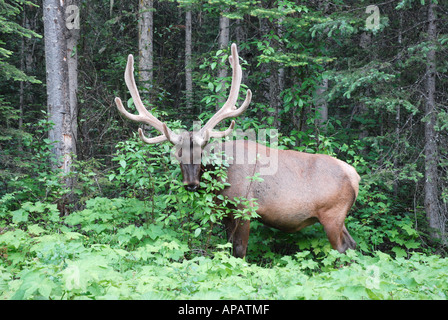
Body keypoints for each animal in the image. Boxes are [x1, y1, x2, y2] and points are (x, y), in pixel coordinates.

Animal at [115, 43, 360, 258]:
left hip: (332, 213)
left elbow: (240, 250)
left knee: (342, 249)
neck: (222, 180)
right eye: (177, 154)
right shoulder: (223, 211)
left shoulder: (245, 208)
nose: (191, 183)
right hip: (338, 217)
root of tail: (355, 176)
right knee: (352, 245)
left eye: (201, 152)